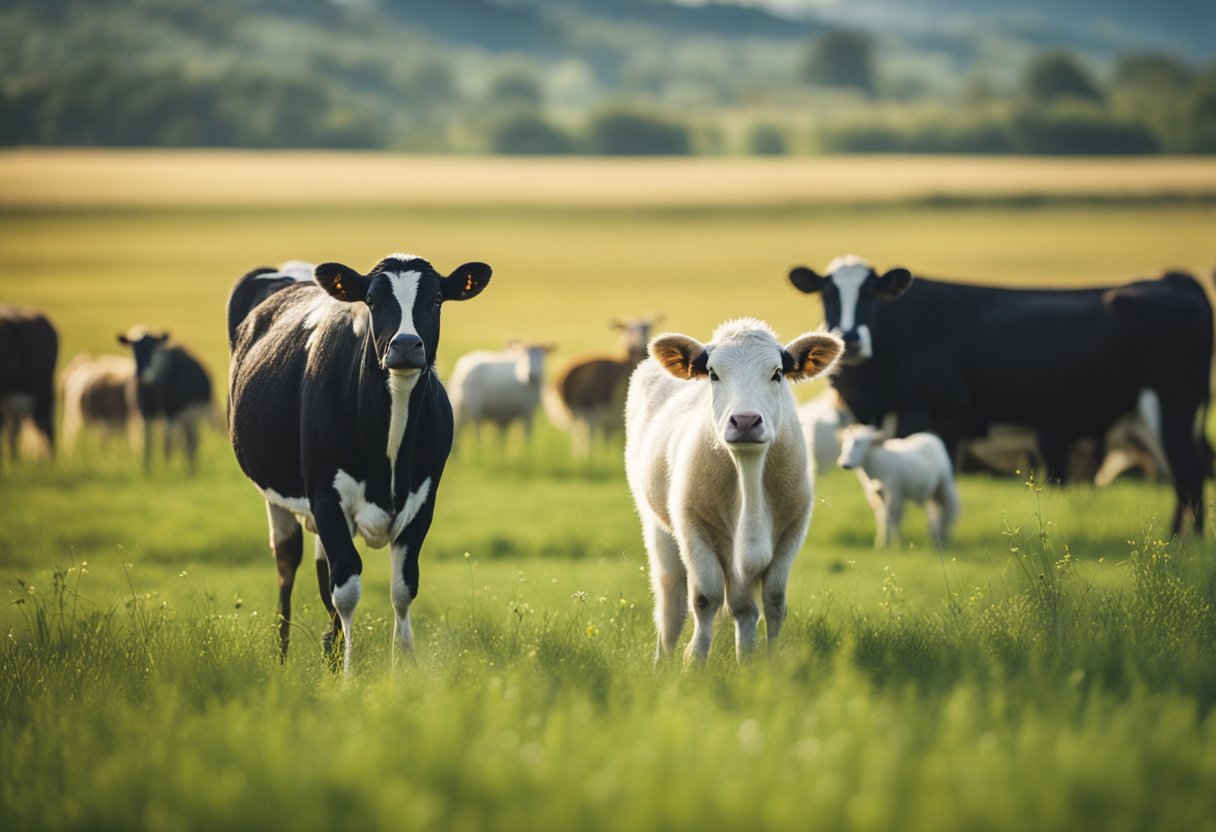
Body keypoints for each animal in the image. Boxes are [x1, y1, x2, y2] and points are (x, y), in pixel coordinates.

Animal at [117, 325, 214, 474]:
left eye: (153, 347)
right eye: (133, 349)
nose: (141, 374)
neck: (152, 389)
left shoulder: (171, 414)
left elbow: (167, 445)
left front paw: (167, 470)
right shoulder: (145, 414)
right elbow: (147, 444)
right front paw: (147, 470)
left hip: (193, 416)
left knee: (192, 442)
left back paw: (191, 470)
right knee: (186, 442)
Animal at [226, 251, 491, 671]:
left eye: (436, 300)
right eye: (371, 300)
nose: (406, 344)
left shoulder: (422, 504)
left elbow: (403, 589)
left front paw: (401, 671)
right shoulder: (326, 496)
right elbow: (347, 590)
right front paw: (348, 677)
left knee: (323, 574)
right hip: (279, 498)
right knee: (288, 564)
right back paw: (282, 660)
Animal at [622, 318, 841, 661]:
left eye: (777, 373)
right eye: (713, 374)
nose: (746, 421)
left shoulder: (792, 531)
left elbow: (772, 601)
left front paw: (760, 661)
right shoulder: (693, 527)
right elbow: (704, 598)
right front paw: (694, 660)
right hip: (657, 526)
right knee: (671, 599)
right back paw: (664, 659)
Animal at [783, 253, 1211, 535]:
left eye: (873, 294)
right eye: (827, 294)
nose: (851, 338)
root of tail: (1173, 280)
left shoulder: (941, 418)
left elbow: (934, 492)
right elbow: (882, 496)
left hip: (1172, 407)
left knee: (1190, 472)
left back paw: (1184, 544)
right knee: (1188, 473)